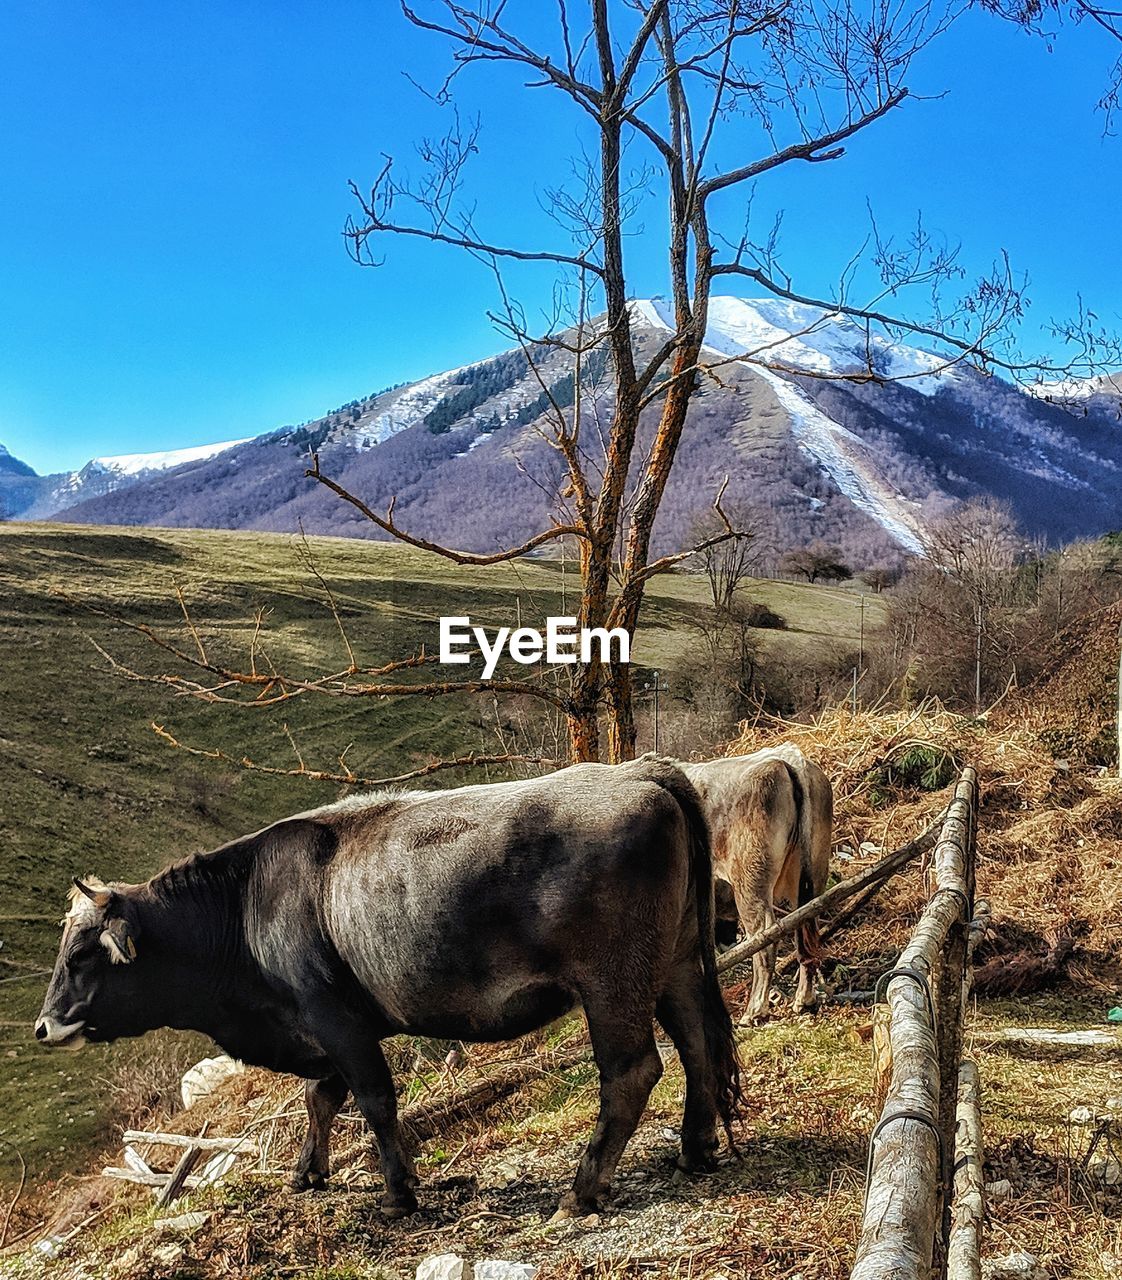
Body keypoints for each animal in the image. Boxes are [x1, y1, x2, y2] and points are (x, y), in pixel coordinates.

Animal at [35, 757, 742, 1218]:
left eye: (82, 954)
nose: (44, 1027)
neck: (245, 908)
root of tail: (642, 771)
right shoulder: (325, 1029)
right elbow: (321, 1099)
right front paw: (307, 1172)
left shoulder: (336, 1022)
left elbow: (374, 1101)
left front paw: (398, 1193)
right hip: (677, 964)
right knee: (698, 1046)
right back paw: (696, 1150)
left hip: (613, 985)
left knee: (633, 1072)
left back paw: (583, 1189)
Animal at [680, 747, 834, 1024]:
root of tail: (790, 760)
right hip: (811, 876)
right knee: (805, 928)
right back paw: (804, 1000)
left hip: (750, 884)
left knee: (764, 938)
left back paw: (755, 1010)